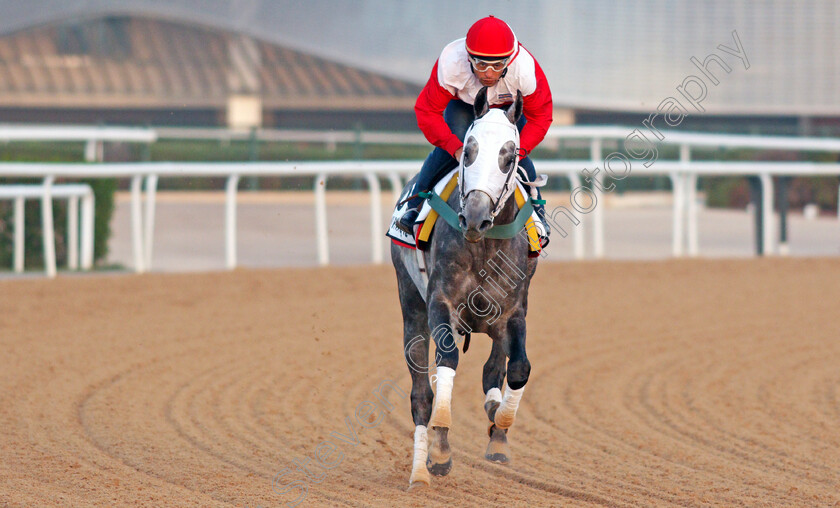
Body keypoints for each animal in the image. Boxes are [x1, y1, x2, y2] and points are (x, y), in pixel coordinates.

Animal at [392, 87, 540, 488]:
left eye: (510, 156)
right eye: (468, 151)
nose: (474, 216)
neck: (484, 244)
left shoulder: (513, 310)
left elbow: (517, 368)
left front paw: (499, 429)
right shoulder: (440, 301)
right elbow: (447, 363)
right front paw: (440, 451)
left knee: (494, 368)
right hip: (410, 305)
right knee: (421, 395)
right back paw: (419, 473)